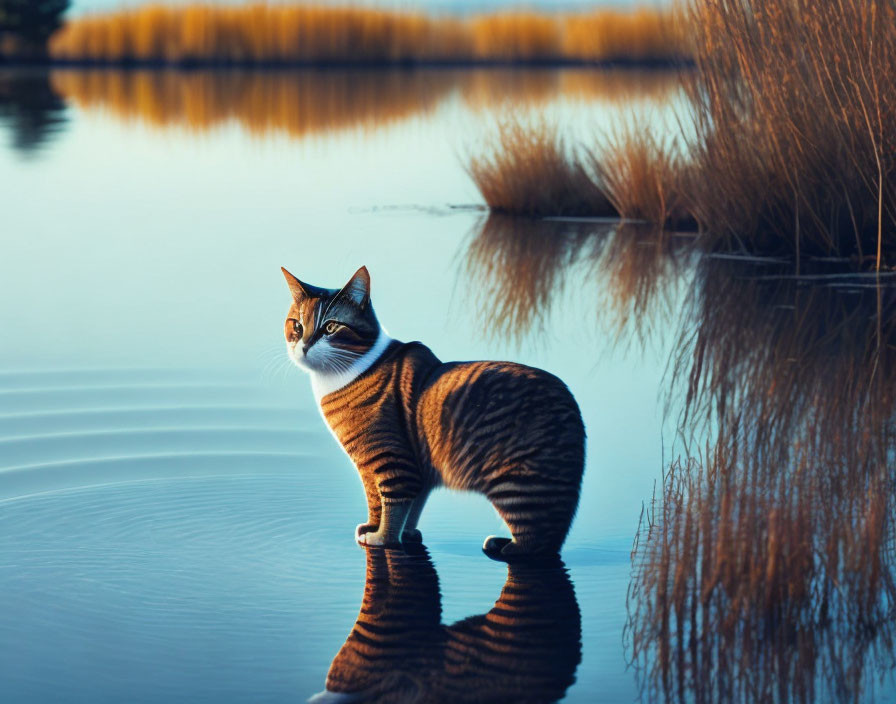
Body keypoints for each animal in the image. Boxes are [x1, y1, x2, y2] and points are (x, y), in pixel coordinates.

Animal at [282, 266, 588, 560]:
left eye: (330, 327)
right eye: (297, 325)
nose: (304, 346)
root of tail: (571, 407)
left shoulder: (391, 461)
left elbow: (392, 505)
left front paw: (382, 537)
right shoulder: (384, 469)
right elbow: (383, 502)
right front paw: (385, 528)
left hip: (518, 486)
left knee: (540, 543)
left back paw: (506, 547)